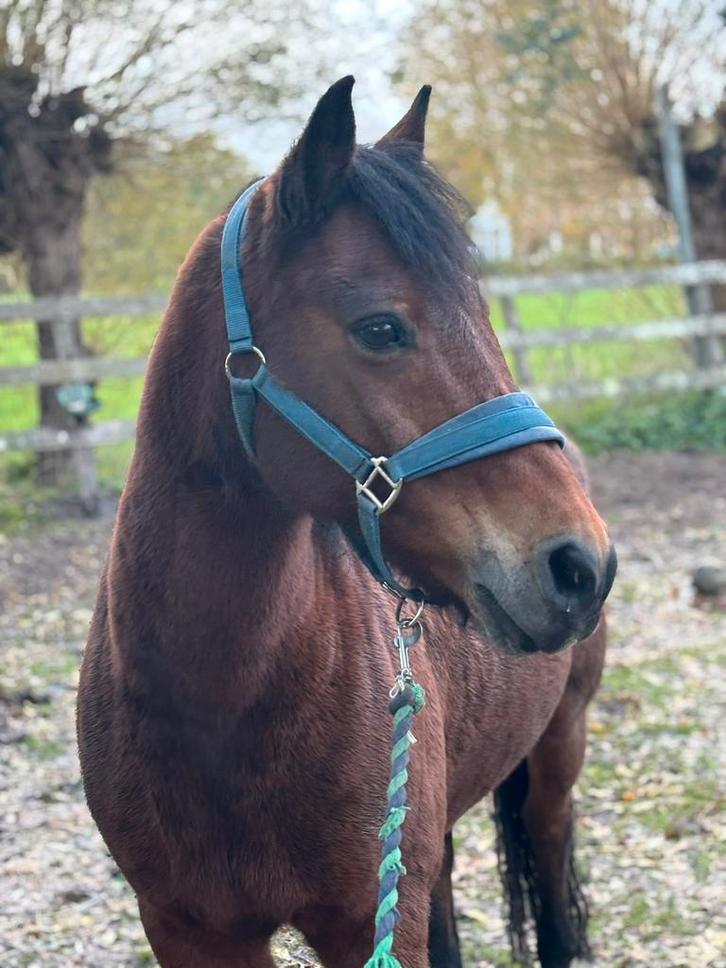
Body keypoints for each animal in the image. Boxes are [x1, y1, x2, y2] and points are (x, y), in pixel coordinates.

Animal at [77, 77, 616, 968]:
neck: (219, 710)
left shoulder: (362, 917)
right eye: (381, 328)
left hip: (557, 752)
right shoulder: (191, 929)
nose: (582, 566)